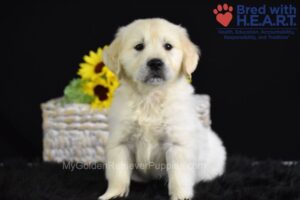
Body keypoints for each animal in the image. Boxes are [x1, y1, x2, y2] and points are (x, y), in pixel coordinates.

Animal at [99, 18, 226, 199]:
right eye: (139, 46)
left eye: (168, 46)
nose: (155, 63)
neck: (151, 97)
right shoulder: (120, 143)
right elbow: (118, 174)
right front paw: (112, 194)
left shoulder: (177, 144)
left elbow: (179, 177)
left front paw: (181, 196)